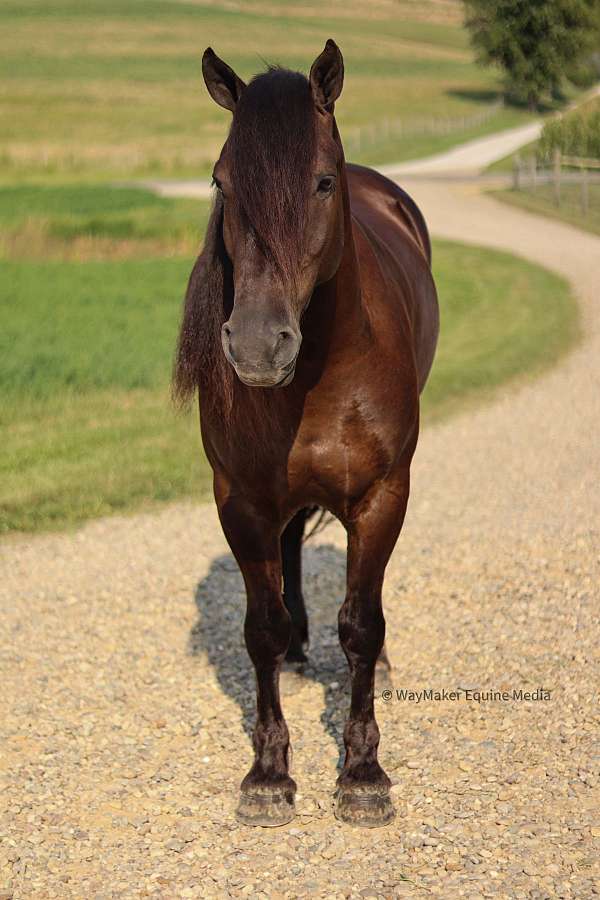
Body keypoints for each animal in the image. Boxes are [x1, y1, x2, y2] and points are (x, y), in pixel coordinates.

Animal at [173, 42, 436, 828]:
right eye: (222, 182)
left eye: (321, 182)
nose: (260, 345)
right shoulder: (243, 500)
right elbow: (260, 626)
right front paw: (268, 775)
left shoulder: (382, 496)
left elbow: (362, 624)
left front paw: (363, 774)